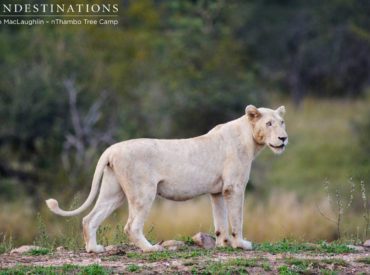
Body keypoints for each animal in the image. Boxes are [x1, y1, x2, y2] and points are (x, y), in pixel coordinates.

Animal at [46, 106, 288, 254]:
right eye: (269, 124)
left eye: (282, 122)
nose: (283, 138)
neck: (251, 140)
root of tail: (111, 149)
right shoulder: (234, 187)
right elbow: (237, 218)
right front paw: (241, 244)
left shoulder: (218, 191)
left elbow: (220, 221)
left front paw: (222, 244)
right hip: (143, 192)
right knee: (131, 226)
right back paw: (151, 249)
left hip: (113, 192)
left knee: (90, 218)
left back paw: (94, 249)